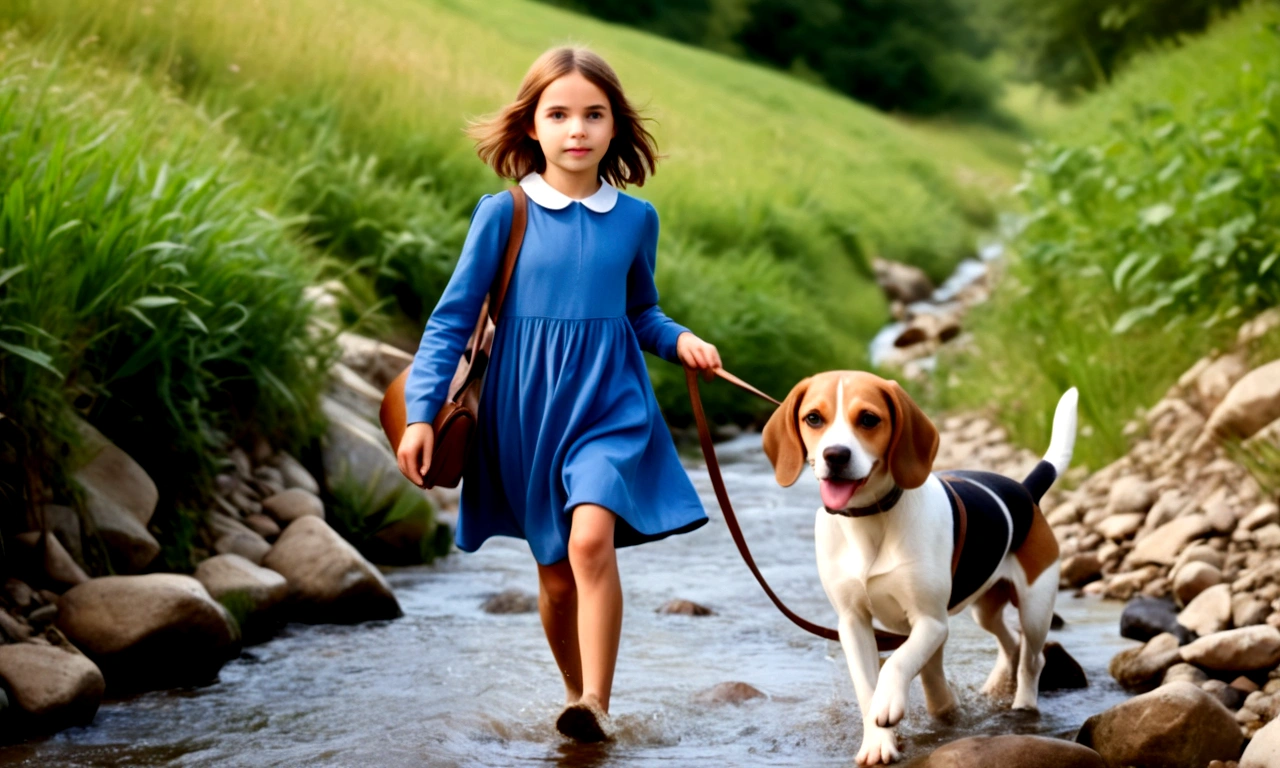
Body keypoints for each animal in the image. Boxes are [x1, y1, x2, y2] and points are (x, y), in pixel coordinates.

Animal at [762, 371, 1075, 762]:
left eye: (869, 419)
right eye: (814, 418)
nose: (835, 455)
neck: (870, 519)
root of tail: (1025, 490)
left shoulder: (931, 621)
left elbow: (897, 663)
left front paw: (888, 704)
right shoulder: (852, 623)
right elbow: (867, 686)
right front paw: (877, 742)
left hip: (1035, 607)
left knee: (1033, 658)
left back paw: (1024, 704)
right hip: (985, 609)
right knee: (1009, 642)